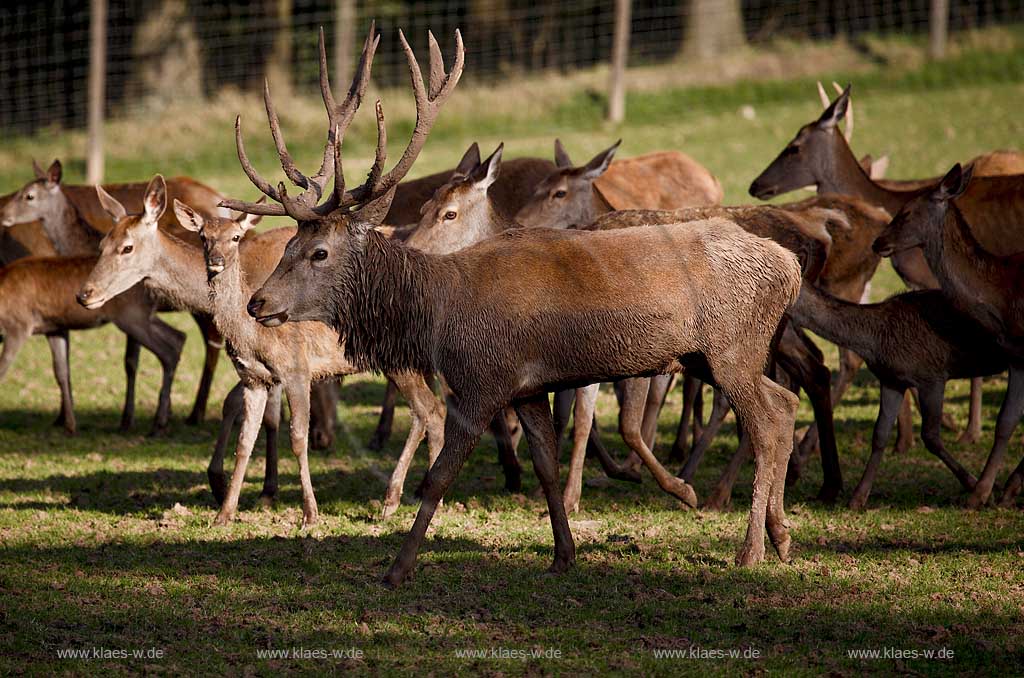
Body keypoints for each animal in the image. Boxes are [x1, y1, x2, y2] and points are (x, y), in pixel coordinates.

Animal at [228, 22, 802, 585]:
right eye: (288, 245)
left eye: (319, 252)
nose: (257, 302)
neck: (441, 313)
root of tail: (790, 266)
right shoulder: (527, 387)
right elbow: (545, 467)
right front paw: (563, 554)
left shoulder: (485, 380)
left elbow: (438, 479)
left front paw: (397, 567)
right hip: (709, 356)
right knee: (785, 402)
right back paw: (780, 536)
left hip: (732, 348)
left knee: (768, 423)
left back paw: (750, 549)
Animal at [872, 165, 1024, 510]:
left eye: (906, 212)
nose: (877, 242)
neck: (1002, 297)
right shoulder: (1017, 356)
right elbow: (1006, 421)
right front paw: (999, 490)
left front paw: (983, 492)